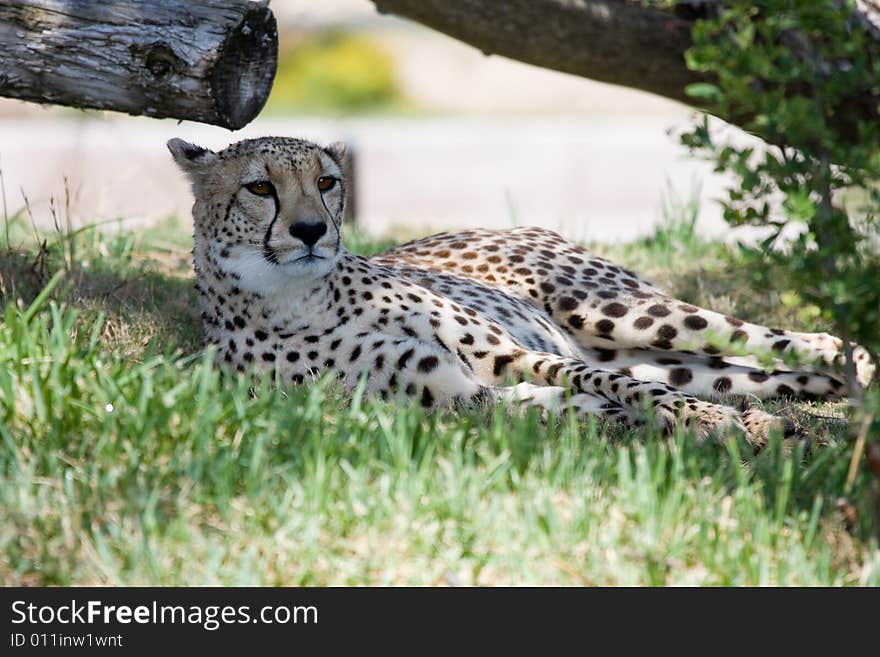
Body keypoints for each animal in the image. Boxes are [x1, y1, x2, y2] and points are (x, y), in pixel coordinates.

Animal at [167, 136, 872, 448]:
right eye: (261, 187)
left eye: (328, 181)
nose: (313, 230)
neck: (299, 296)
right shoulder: (463, 397)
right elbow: (591, 406)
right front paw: (723, 425)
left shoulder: (510, 354)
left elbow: (616, 390)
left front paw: (706, 421)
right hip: (659, 352)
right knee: (742, 372)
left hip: (617, 309)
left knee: (781, 337)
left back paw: (851, 362)